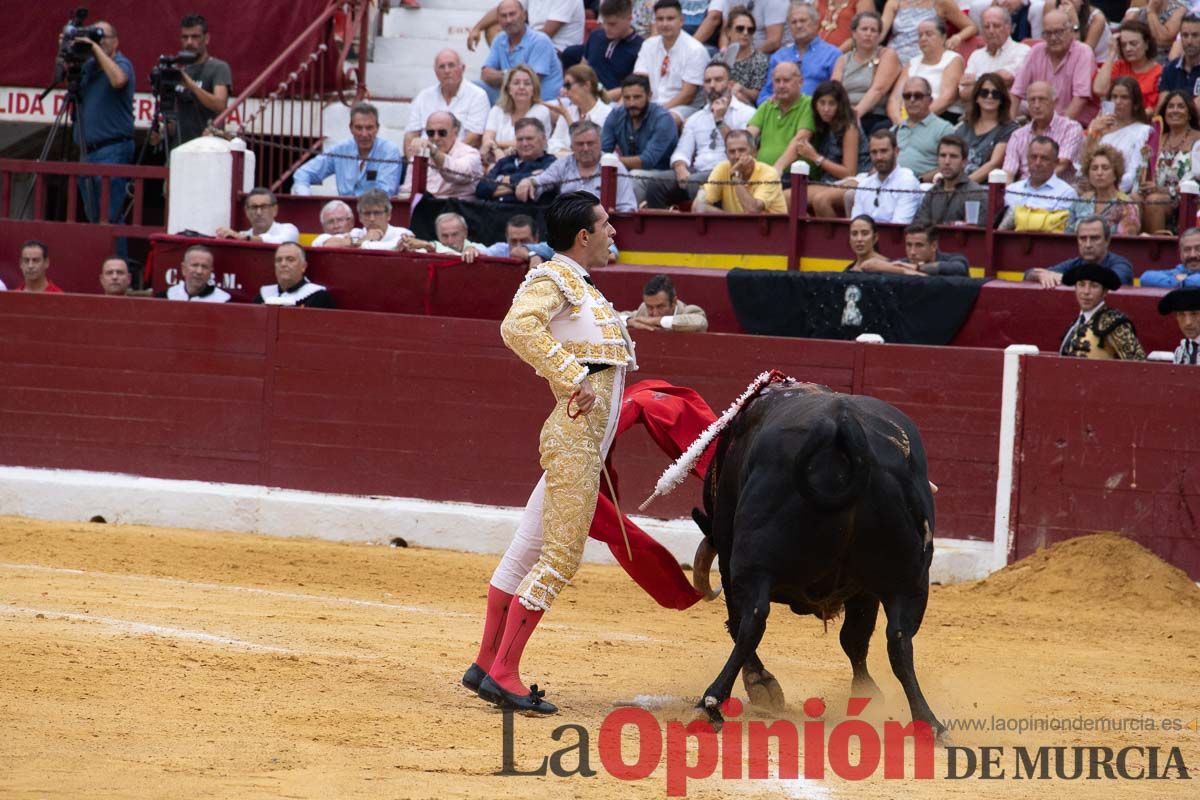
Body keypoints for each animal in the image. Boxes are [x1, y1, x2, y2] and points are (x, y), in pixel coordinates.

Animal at [691, 383, 940, 734]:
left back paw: (714, 702)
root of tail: (845, 427)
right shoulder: (865, 589)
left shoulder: (728, 556)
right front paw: (867, 695)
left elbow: (737, 621)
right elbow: (855, 639)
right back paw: (927, 721)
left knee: (750, 621)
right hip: (909, 577)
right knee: (900, 639)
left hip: (750, 561)